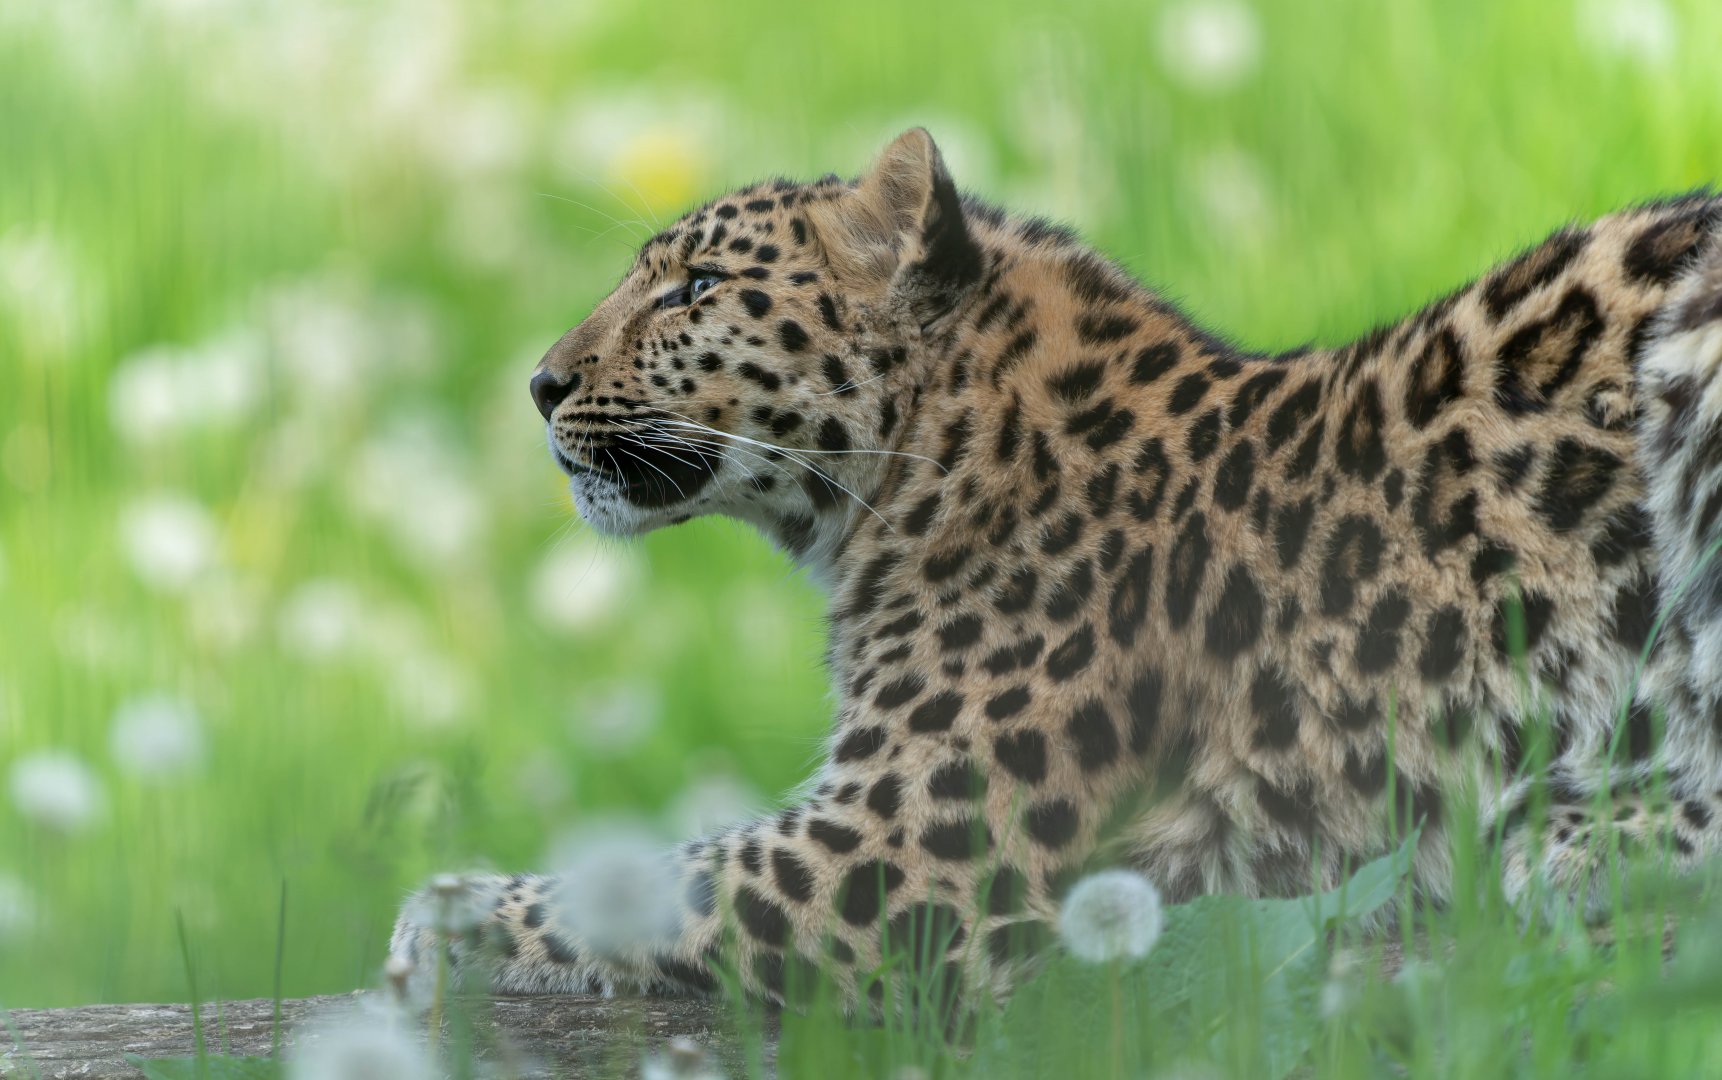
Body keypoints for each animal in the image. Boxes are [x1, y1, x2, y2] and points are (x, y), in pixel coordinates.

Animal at [392, 129, 1722, 1012]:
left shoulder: (893, 850)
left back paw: (1588, 830)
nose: (540, 384)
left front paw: (439, 914)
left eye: (695, 287)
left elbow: (654, 881)